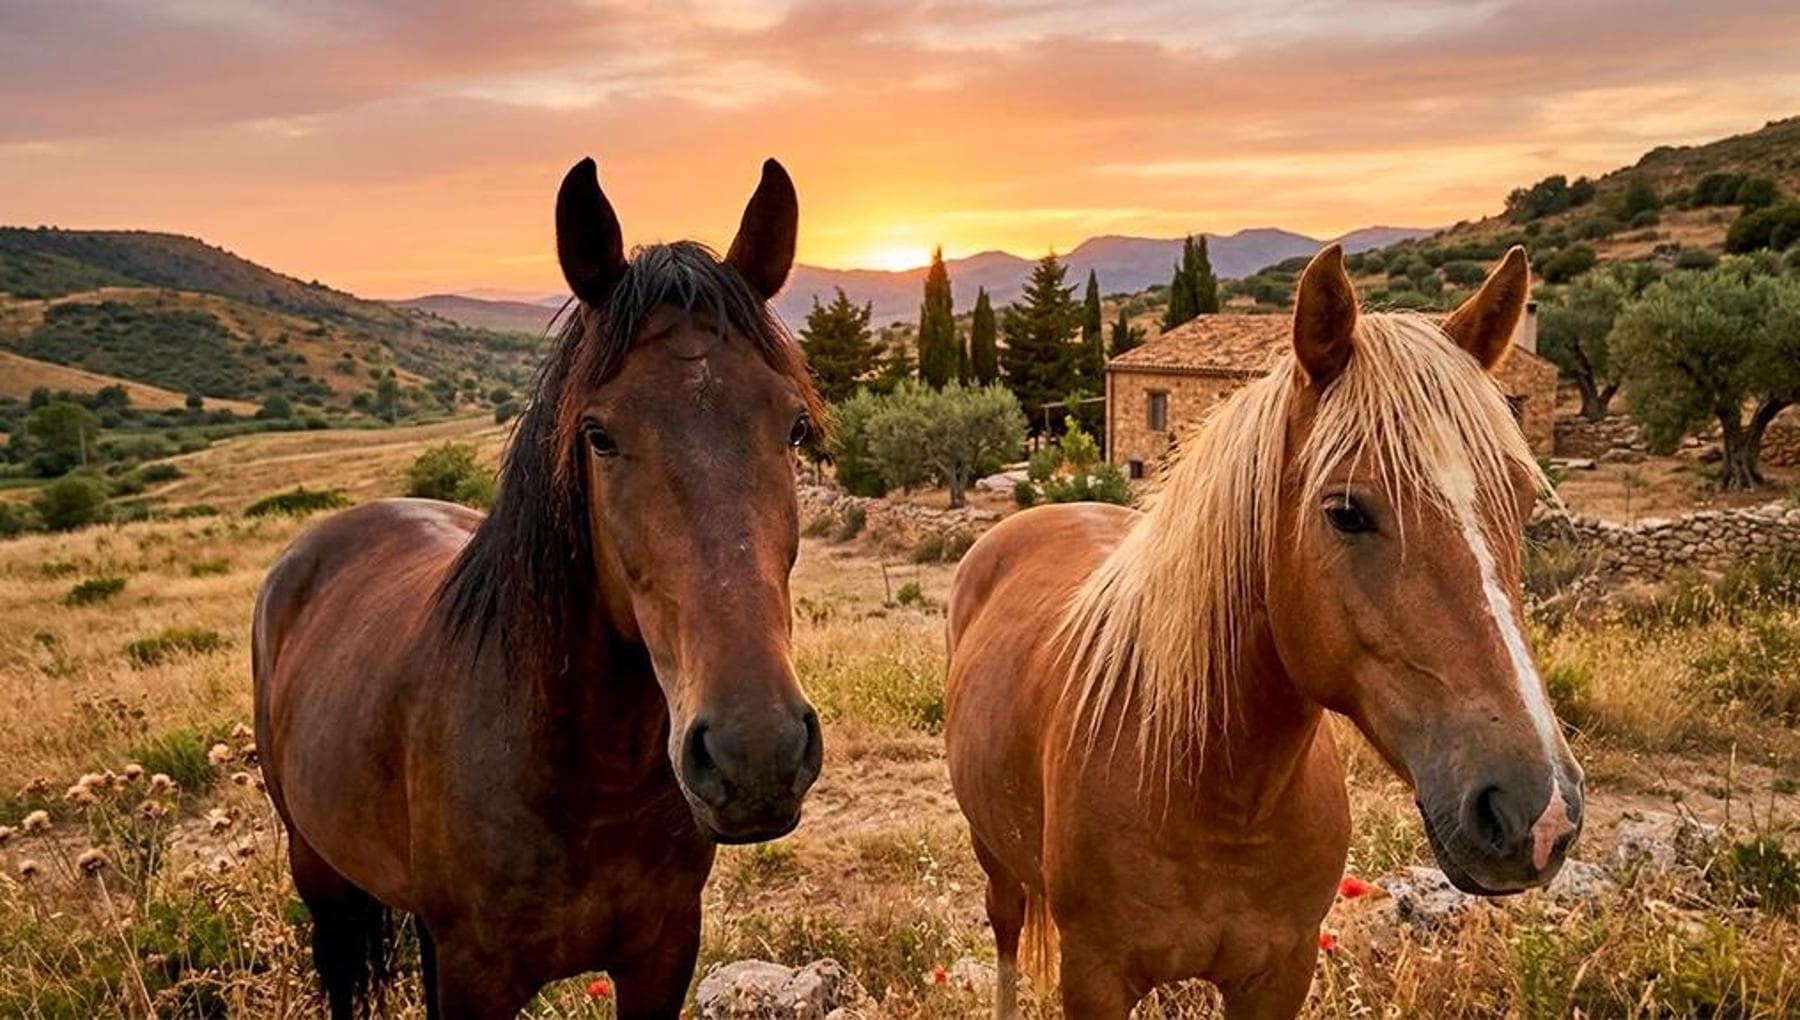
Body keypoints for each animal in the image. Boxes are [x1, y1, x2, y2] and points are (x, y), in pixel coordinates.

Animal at [253, 157, 827, 1019]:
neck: (587, 777)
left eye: (793, 426)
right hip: (319, 876)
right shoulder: (477, 977)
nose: (756, 753)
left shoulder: (662, 955)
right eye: (599, 435)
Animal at [944, 245, 1584, 1019]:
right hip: (994, 858)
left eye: (1518, 500)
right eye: (1346, 512)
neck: (1218, 796)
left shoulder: (1282, 971)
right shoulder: (1094, 976)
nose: (1539, 812)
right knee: (1006, 930)